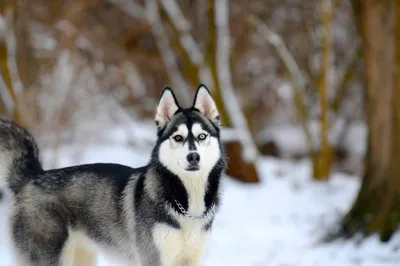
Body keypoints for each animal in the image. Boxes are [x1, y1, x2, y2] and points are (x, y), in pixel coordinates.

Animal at [0, 85, 228, 266]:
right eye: (178, 137)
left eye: (202, 136)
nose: (193, 157)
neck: (186, 204)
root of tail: (32, 177)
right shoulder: (153, 259)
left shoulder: (191, 259)